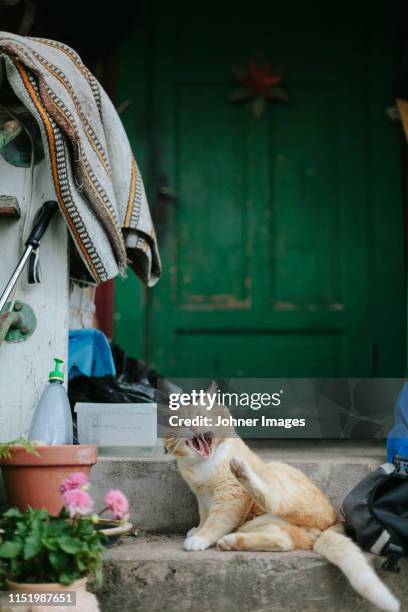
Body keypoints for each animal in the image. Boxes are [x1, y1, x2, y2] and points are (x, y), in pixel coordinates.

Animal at [165, 384, 398, 612]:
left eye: (202, 416)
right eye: (182, 422)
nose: (193, 427)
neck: (200, 465)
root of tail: (333, 520)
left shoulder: (230, 496)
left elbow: (215, 521)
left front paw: (200, 537)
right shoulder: (201, 496)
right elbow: (205, 515)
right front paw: (198, 529)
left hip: (273, 471)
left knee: (275, 504)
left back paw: (242, 473)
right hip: (259, 524)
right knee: (283, 541)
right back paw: (230, 542)